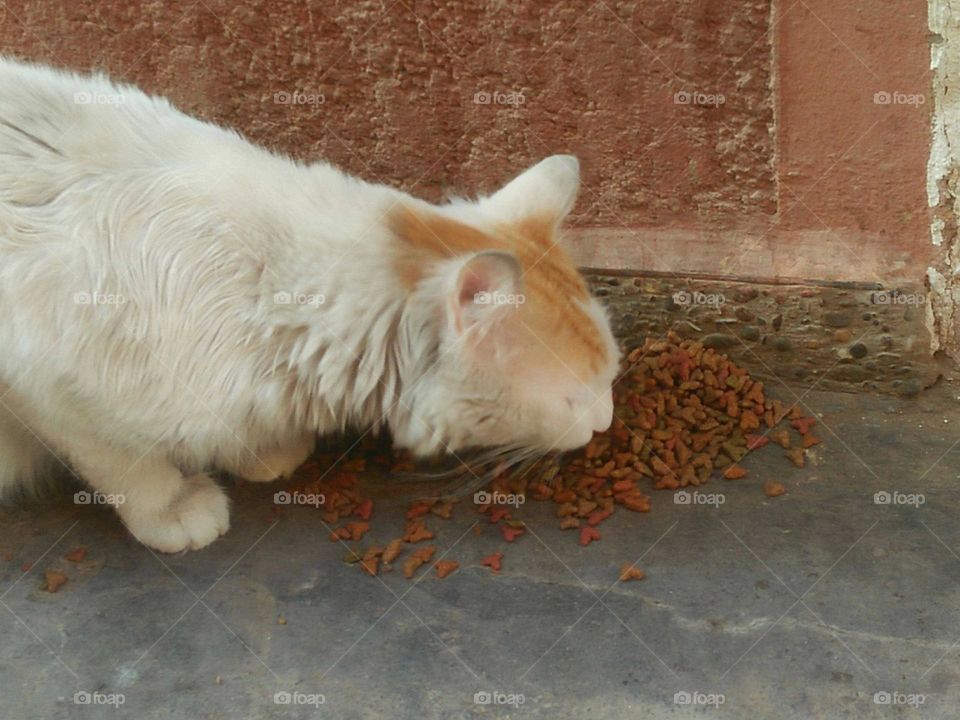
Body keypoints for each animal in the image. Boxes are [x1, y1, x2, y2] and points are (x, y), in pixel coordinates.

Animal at [0, 57, 620, 552]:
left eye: (612, 377)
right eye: (575, 399)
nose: (606, 424)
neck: (264, 288)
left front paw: (261, 450)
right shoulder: (43, 388)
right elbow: (128, 464)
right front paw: (172, 508)